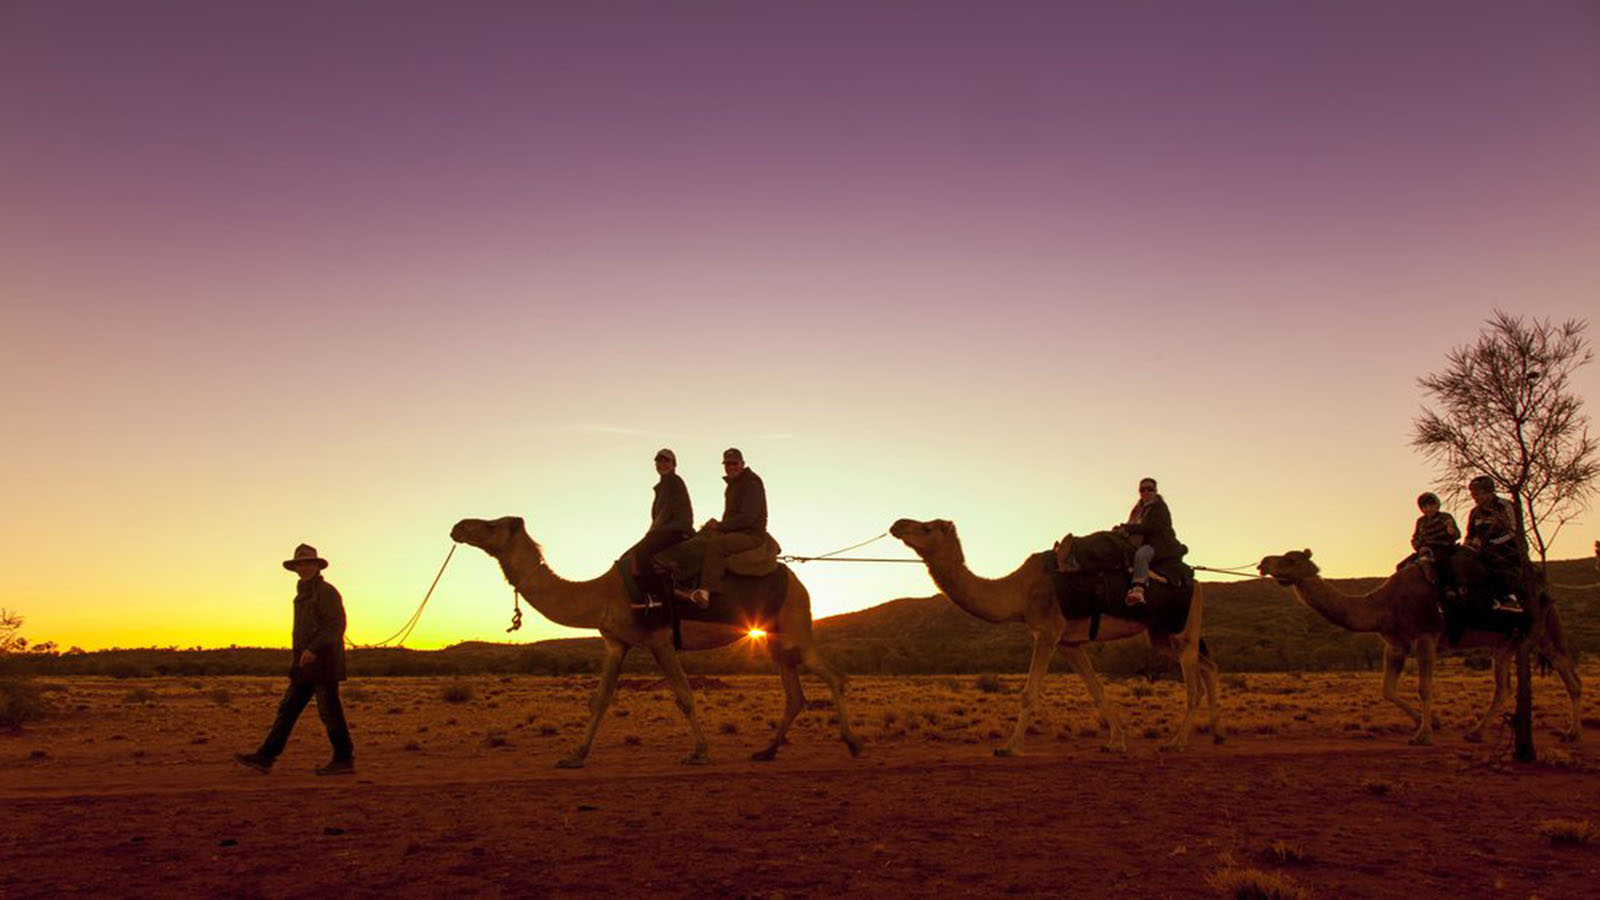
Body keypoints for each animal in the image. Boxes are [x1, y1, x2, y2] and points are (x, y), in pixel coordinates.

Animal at [451, 516, 861, 766]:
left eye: (492, 525)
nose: (458, 526)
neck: (601, 593)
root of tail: (797, 580)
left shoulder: (659, 639)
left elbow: (685, 696)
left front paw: (700, 752)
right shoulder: (616, 643)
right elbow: (599, 700)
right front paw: (575, 756)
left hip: (795, 629)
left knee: (834, 676)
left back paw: (853, 743)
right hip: (776, 639)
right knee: (796, 694)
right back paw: (767, 750)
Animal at [889, 518, 1222, 754]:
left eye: (926, 527)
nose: (897, 524)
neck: (1019, 592)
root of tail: (1197, 584)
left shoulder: (1047, 632)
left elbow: (1029, 693)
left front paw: (1009, 747)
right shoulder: (1069, 642)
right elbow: (1097, 690)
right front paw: (1116, 742)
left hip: (1182, 630)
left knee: (1194, 686)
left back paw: (1176, 743)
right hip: (1161, 634)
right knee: (1208, 666)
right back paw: (1217, 734)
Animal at [1257, 549, 1582, 745]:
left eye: (1289, 559)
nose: (1263, 562)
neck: (1383, 605)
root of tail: (1542, 591)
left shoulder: (1426, 637)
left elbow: (1425, 688)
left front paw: (1423, 735)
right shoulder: (1395, 644)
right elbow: (1387, 690)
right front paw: (1433, 722)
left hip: (1545, 628)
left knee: (1570, 676)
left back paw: (1572, 733)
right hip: (1502, 643)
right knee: (1503, 688)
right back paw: (1476, 732)